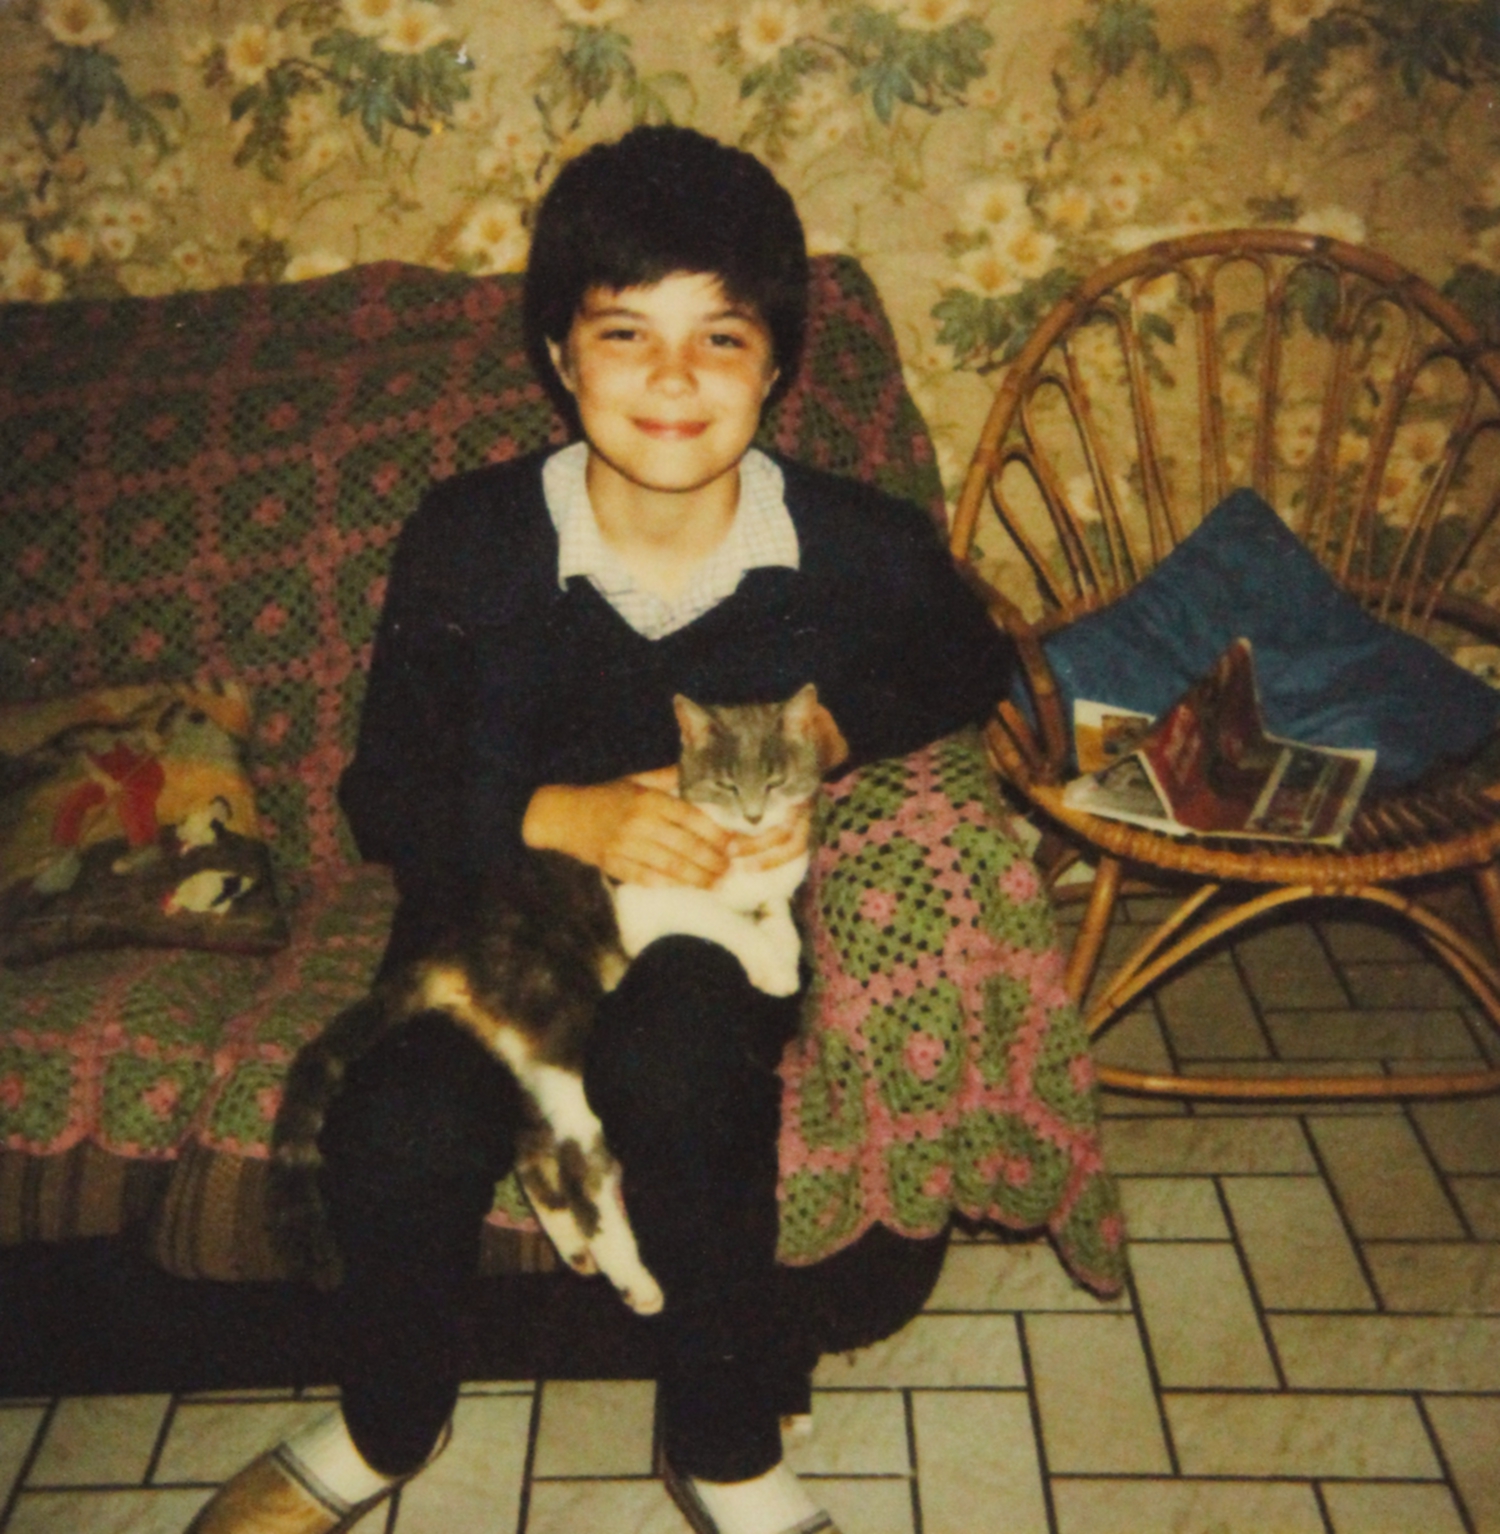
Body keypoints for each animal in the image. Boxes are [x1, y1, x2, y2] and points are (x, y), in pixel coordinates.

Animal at [269, 683, 824, 1316]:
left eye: (776, 780)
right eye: (728, 785)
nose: (754, 814)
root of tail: (455, 951)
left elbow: (776, 909)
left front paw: (783, 949)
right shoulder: (645, 902)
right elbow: (722, 921)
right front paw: (772, 968)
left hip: (530, 1051)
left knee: (531, 1147)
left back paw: (576, 1249)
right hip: (564, 1021)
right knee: (580, 1161)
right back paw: (633, 1280)